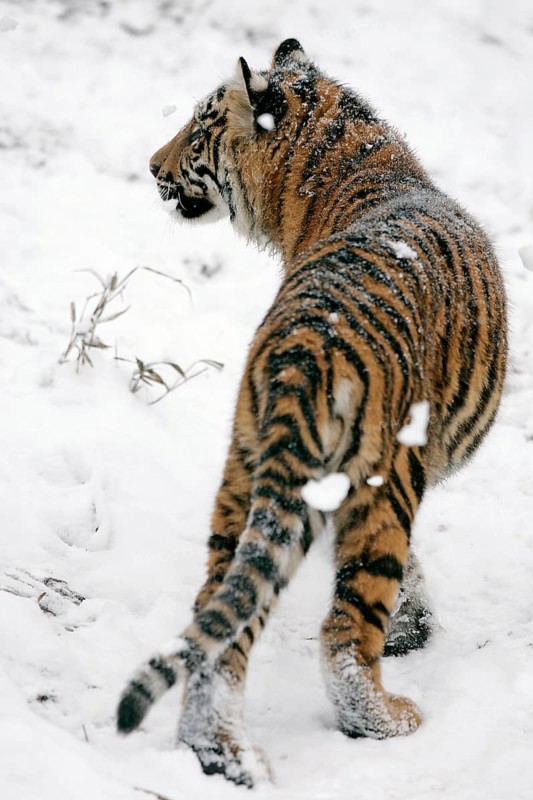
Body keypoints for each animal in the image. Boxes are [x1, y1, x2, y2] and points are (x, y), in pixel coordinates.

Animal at [117, 39, 507, 787]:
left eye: (197, 129)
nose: (151, 165)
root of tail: (306, 343)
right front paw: (416, 631)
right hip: (383, 483)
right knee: (346, 636)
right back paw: (388, 719)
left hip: (250, 473)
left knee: (219, 621)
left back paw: (219, 753)